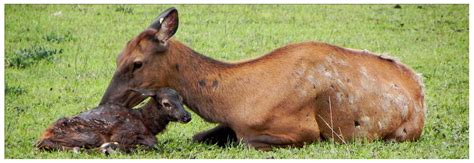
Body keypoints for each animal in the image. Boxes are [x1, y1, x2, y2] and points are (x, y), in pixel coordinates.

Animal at [35, 88, 191, 154]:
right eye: (166, 103)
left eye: (182, 100)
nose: (187, 116)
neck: (147, 123)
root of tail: (44, 135)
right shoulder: (123, 133)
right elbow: (152, 144)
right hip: (91, 135)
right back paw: (106, 148)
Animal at [100, 7, 426, 150]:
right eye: (116, 57)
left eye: (136, 63)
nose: (105, 104)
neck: (230, 102)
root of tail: (420, 89)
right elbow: (199, 136)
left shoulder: (302, 130)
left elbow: (245, 142)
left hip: (402, 133)